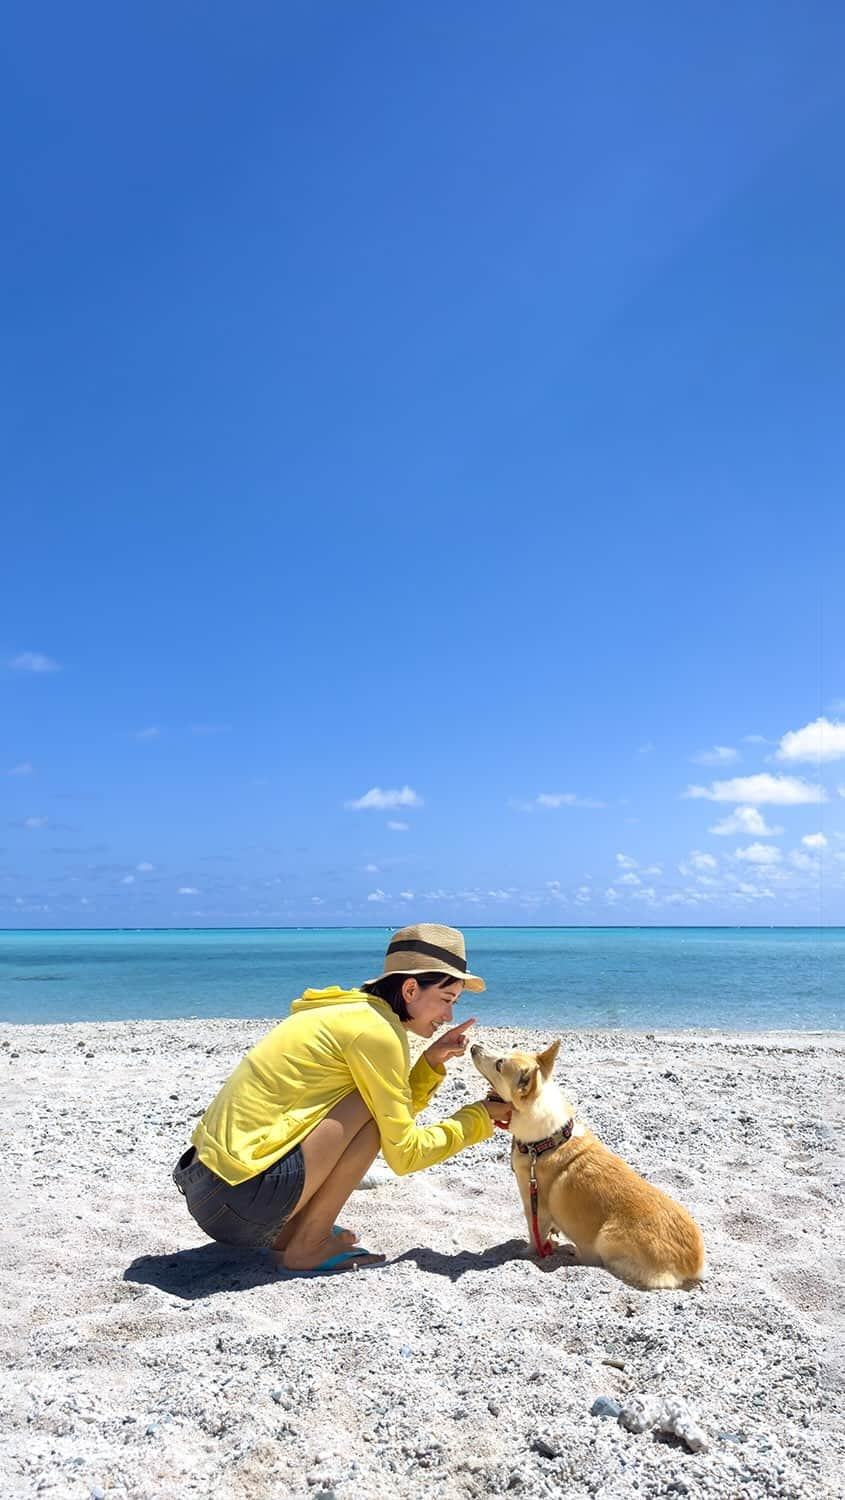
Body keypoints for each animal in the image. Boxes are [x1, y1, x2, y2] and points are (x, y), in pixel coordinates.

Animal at [468, 1044, 708, 1290]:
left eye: (499, 1064)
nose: (474, 1046)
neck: (546, 1141)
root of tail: (694, 1265)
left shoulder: (535, 1207)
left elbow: (535, 1239)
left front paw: (525, 1254)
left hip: (607, 1238)